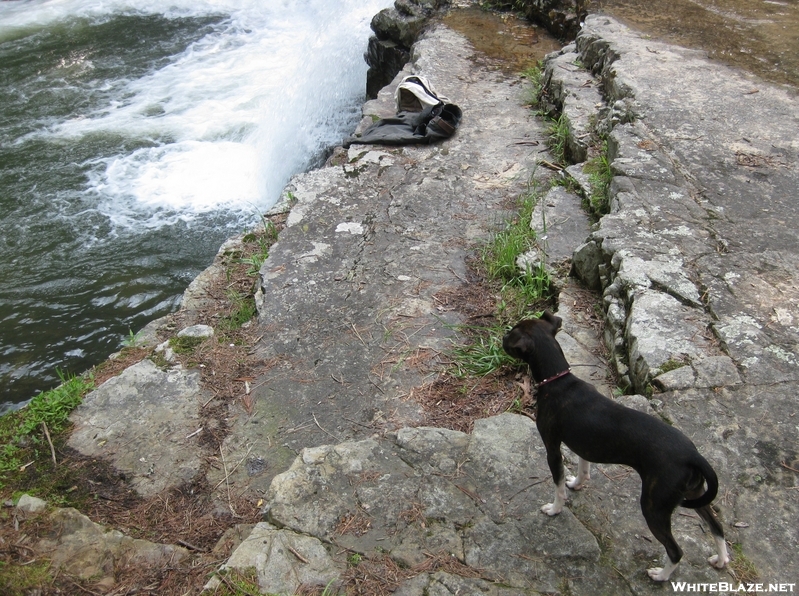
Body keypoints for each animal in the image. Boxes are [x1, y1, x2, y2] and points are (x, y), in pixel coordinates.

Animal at [506, 312, 732, 584]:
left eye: (511, 334)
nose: (502, 338)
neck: (559, 380)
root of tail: (693, 456)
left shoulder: (552, 448)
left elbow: (557, 486)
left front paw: (555, 509)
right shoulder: (584, 446)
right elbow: (583, 469)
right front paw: (577, 484)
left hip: (654, 506)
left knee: (676, 550)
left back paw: (660, 575)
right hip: (695, 493)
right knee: (717, 527)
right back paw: (720, 559)